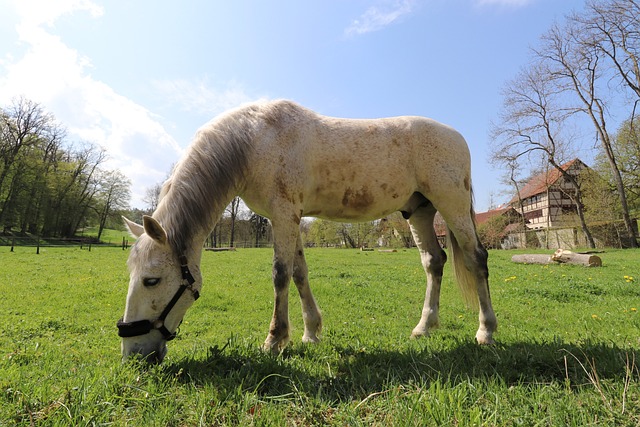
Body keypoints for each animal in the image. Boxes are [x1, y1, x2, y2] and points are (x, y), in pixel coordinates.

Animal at [121, 100, 500, 364]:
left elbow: (280, 274)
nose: (133, 354)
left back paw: (486, 331)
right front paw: (310, 333)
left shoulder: (284, 214)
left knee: (476, 259)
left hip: (451, 204)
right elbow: (299, 273)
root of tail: (457, 137)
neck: (254, 140)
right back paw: (424, 327)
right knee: (434, 262)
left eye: (151, 280)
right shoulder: (288, 217)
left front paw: (274, 341)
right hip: (419, 211)